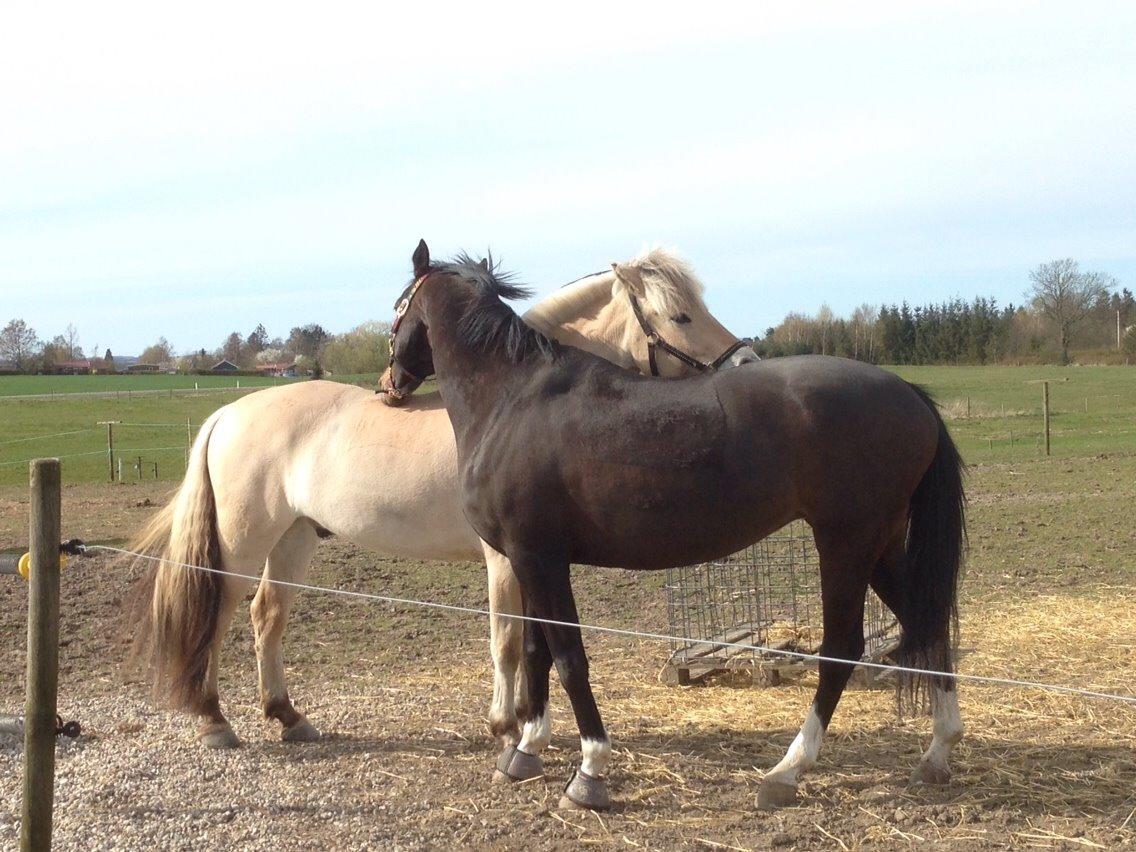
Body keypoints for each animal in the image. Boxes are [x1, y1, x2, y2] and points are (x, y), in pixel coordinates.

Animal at [126, 246, 754, 745]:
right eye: (681, 315)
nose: (747, 364)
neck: (508, 400)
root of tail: (227, 414)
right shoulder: (505, 558)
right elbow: (507, 639)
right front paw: (507, 724)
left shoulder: (536, 557)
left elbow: (535, 642)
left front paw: (529, 723)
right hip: (242, 542)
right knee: (219, 613)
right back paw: (215, 721)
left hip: (294, 538)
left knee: (267, 615)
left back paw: (288, 716)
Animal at [383, 241, 967, 813]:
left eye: (396, 310)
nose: (391, 384)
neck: (513, 398)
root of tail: (909, 394)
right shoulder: (530, 561)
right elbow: (536, 652)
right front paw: (526, 751)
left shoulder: (537, 558)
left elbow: (568, 658)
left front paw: (589, 772)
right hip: (879, 545)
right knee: (927, 621)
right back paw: (939, 750)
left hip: (846, 543)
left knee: (843, 648)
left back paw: (787, 771)